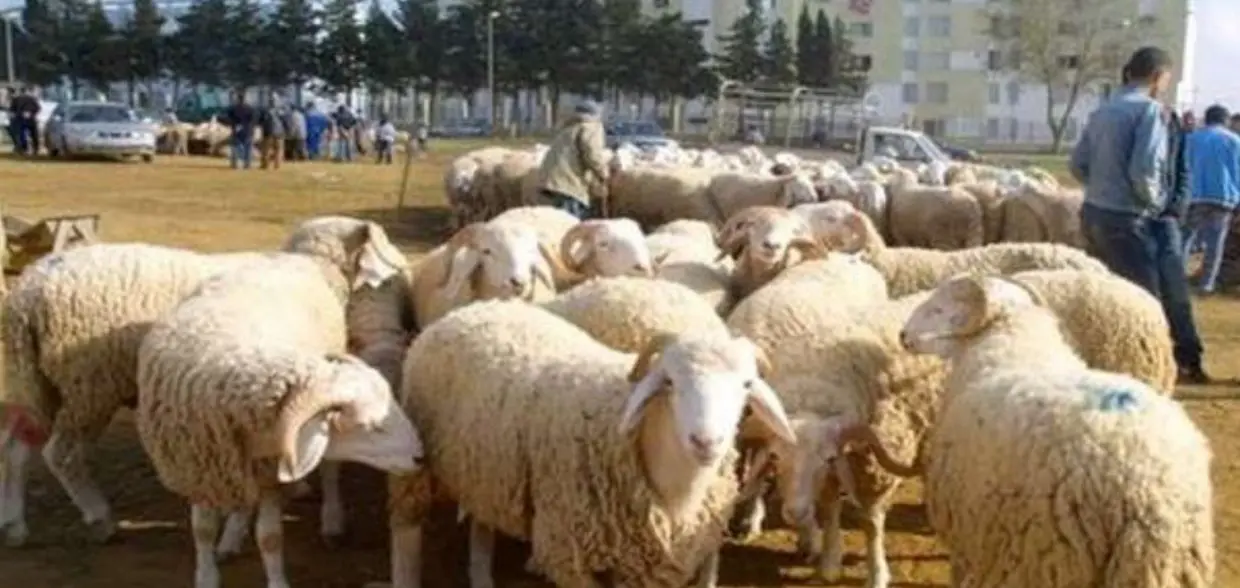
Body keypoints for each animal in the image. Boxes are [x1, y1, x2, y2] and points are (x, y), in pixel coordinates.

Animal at [0, 217, 408, 549]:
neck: (314, 267)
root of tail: (26, 294)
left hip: (37, 382)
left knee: (16, 447)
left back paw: (15, 525)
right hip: (89, 383)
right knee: (60, 453)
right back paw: (100, 518)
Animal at [135, 253, 423, 588]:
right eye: (371, 427)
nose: (421, 457)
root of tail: (290, 257)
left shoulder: (270, 472)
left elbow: (270, 538)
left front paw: (276, 580)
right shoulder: (197, 467)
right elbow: (203, 531)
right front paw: (207, 575)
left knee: (329, 471)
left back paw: (331, 521)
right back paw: (231, 537)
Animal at [380, 301, 796, 588]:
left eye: (746, 385)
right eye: (669, 382)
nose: (706, 441)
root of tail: (472, 308)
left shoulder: (648, 563)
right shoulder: (571, 552)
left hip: (486, 468)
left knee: (483, 524)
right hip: (414, 460)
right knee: (406, 532)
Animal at [858, 273, 1214, 587]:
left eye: (941, 309)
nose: (903, 335)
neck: (1012, 342)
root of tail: (1145, 490)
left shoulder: (965, 528)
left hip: (1046, 557)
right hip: (1171, 564)